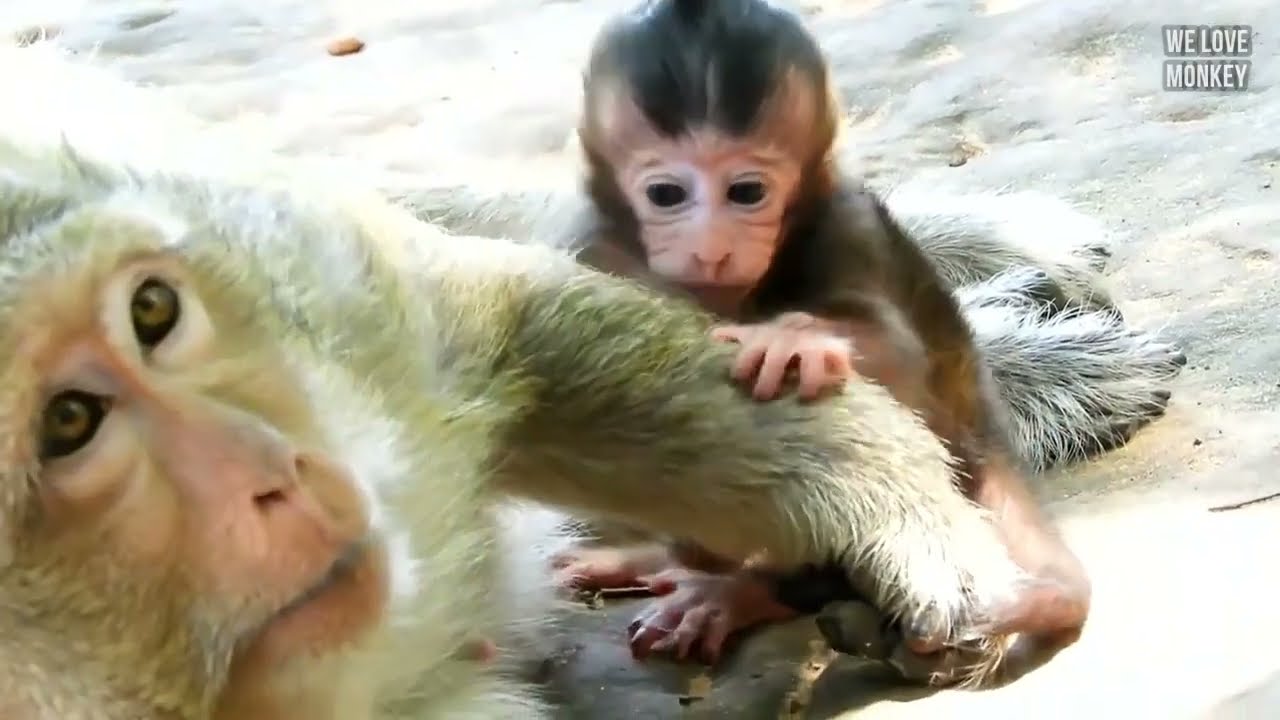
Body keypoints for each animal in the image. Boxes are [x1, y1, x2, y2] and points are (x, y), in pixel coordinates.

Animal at [0, 42, 1067, 714]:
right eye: (67, 423)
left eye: (152, 312)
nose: (276, 473)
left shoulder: (309, 279)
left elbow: (500, 315)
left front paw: (889, 499)